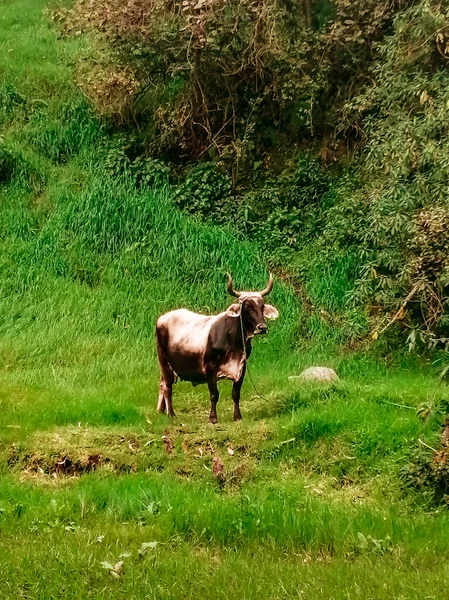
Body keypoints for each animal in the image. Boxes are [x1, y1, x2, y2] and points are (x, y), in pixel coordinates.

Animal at [156, 274, 278, 424]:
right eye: (247, 307)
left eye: (262, 306)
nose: (262, 327)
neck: (234, 344)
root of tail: (163, 317)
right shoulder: (210, 368)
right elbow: (214, 395)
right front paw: (213, 418)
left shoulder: (242, 368)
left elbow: (235, 393)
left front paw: (237, 416)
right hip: (164, 361)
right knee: (167, 387)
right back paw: (171, 414)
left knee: (162, 384)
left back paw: (161, 411)